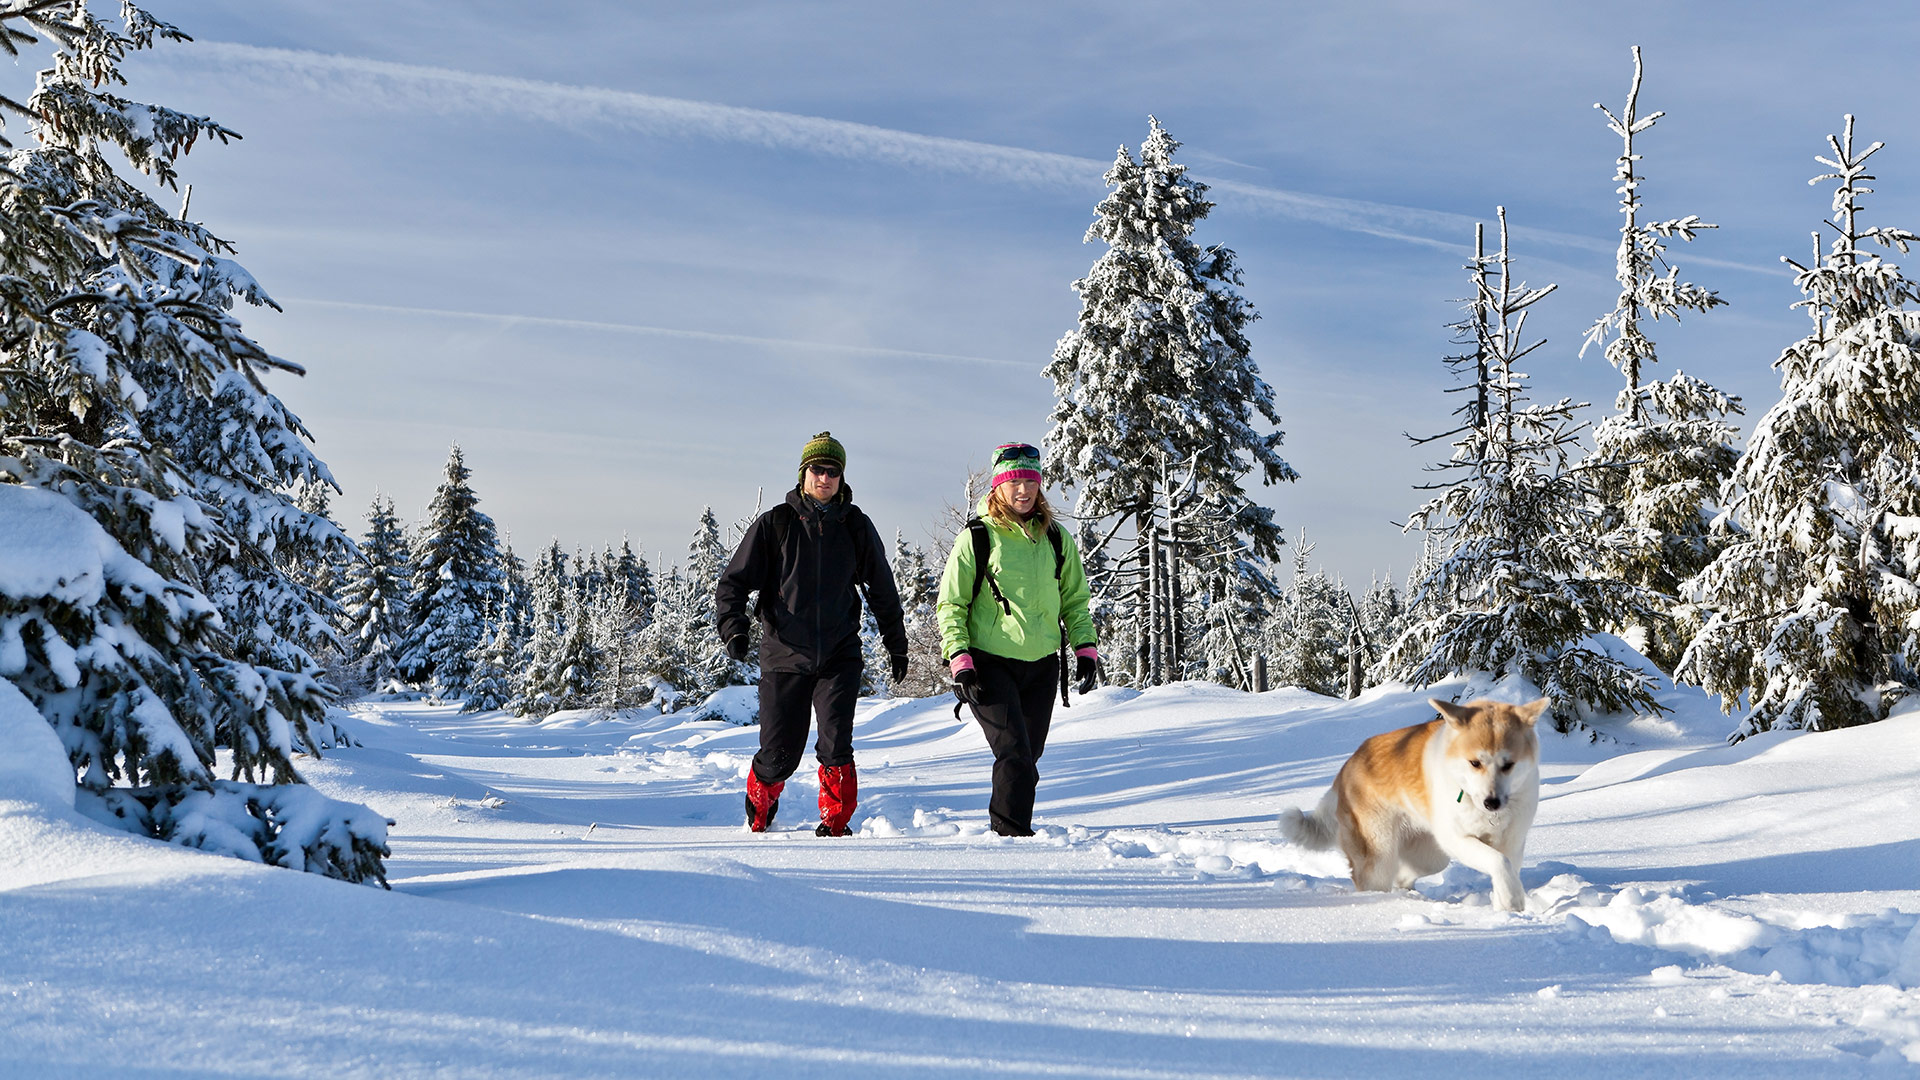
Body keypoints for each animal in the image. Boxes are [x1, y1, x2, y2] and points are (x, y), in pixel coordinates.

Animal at [1282, 699, 1551, 907]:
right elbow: (1498, 862)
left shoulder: (1512, 842)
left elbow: (1507, 867)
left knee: (1404, 876)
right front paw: (1512, 902)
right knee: (1372, 880)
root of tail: (1346, 767)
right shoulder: (1457, 839)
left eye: (1509, 765)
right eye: (1475, 763)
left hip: (1430, 855)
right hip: (1380, 855)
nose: (1491, 803)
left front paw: (1505, 904)